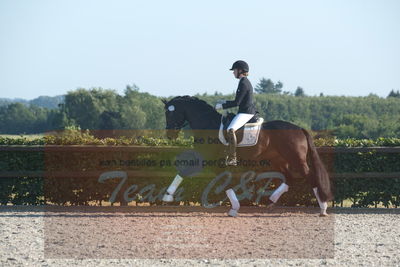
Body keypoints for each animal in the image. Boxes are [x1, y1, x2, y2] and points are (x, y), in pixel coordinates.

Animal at [161, 95, 332, 217]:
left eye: (170, 113)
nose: (170, 135)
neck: (207, 124)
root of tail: (300, 129)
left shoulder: (208, 160)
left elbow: (186, 171)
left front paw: (167, 197)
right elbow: (224, 182)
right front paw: (234, 208)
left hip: (295, 159)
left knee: (309, 176)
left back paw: (323, 208)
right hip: (278, 160)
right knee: (290, 177)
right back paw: (272, 200)